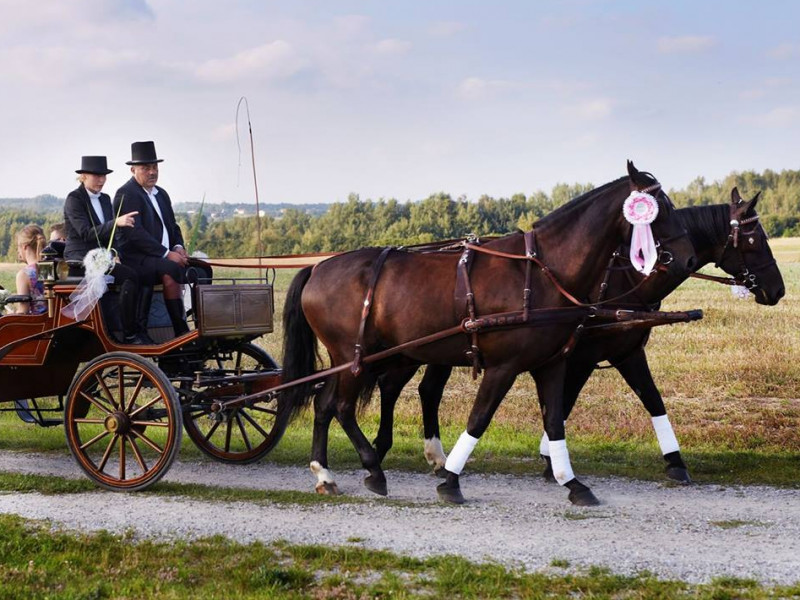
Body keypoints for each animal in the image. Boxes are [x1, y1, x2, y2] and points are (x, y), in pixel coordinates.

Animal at [284, 161, 696, 506]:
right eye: (661, 208)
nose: (688, 258)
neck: (543, 273)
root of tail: (317, 268)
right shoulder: (503, 366)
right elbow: (479, 418)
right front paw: (451, 480)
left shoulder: (552, 364)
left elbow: (554, 421)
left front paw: (572, 482)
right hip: (354, 356)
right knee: (341, 406)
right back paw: (372, 467)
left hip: (353, 359)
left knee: (325, 404)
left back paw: (324, 472)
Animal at [372, 189, 784, 488]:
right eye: (753, 239)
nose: (777, 290)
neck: (623, 279)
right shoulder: (588, 355)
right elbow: (573, 402)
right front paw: (550, 457)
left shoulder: (620, 351)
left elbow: (650, 400)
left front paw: (674, 462)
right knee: (392, 386)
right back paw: (382, 448)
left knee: (426, 390)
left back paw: (432, 455)